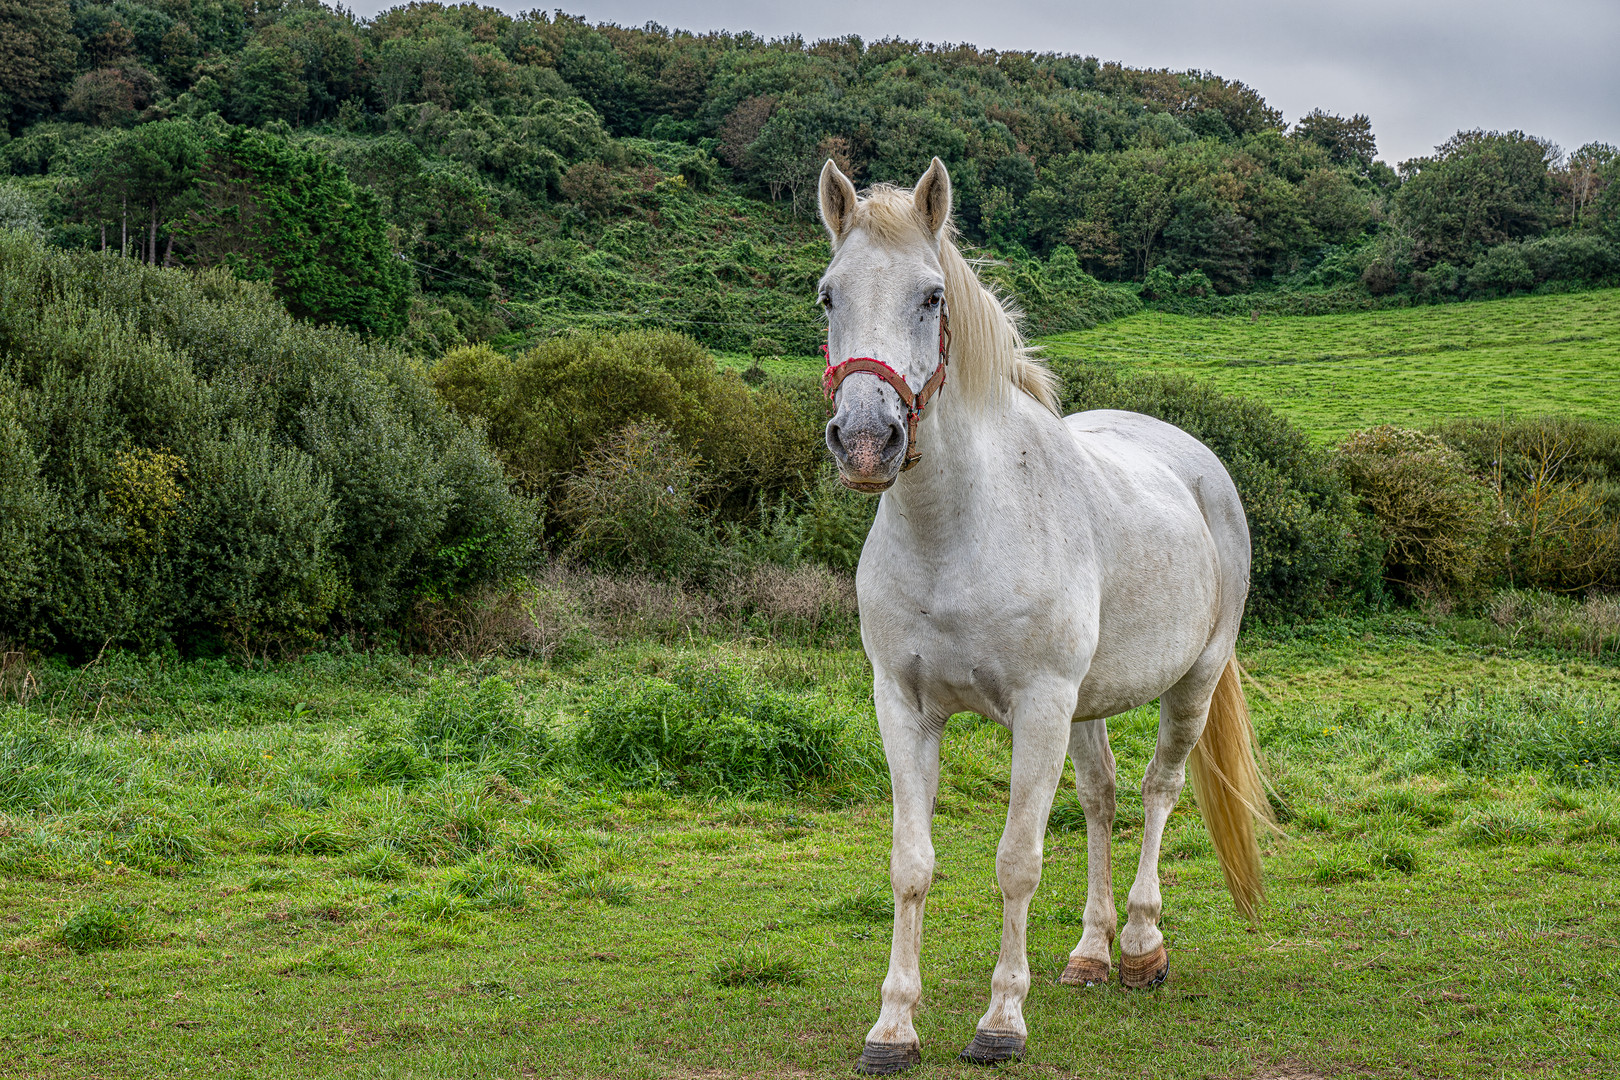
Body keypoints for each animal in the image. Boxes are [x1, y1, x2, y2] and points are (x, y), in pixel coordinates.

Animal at [816, 158, 1270, 1075]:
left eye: (930, 296)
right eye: (827, 295)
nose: (867, 441)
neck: (956, 529)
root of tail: (1201, 466)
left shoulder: (1038, 708)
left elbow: (1017, 862)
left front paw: (1000, 1021)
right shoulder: (903, 707)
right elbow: (911, 864)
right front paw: (893, 1027)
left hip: (1189, 686)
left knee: (1157, 791)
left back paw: (1141, 947)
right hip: (1088, 707)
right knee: (1101, 798)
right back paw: (1092, 953)